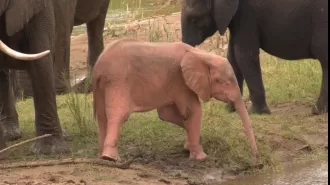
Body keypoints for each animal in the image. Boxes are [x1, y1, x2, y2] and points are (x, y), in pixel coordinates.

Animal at [91, 37, 260, 163]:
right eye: (225, 83)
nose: (256, 161)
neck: (200, 54)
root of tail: (98, 66)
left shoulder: (173, 84)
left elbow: (167, 115)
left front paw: (189, 146)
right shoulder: (181, 81)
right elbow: (193, 111)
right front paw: (201, 157)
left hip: (103, 86)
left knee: (101, 116)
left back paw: (101, 156)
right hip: (118, 81)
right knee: (118, 115)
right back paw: (110, 158)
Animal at [180, 0, 328, 115]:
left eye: (194, 19)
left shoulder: (247, 14)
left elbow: (244, 56)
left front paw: (257, 113)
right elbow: (232, 58)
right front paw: (230, 110)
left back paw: (317, 111)